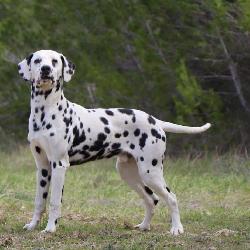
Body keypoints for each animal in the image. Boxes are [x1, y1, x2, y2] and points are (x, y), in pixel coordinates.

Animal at [17, 49, 211, 234]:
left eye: (55, 61)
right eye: (38, 60)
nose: (46, 69)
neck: (45, 110)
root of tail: (155, 121)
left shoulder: (59, 165)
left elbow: (54, 202)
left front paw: (50, 228)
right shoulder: (43, 167)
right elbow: (39, 201)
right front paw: (33, 225)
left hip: (151, 172)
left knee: (172, 198)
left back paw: (176, 228)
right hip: (128, 173)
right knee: (152, 199)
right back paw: (144, 226)